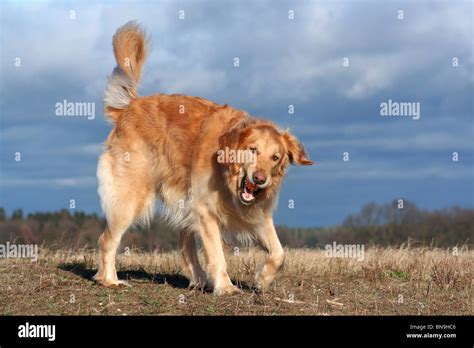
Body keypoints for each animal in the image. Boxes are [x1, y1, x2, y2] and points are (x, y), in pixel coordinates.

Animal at [94, 21, 312, 294]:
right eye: (252, 150)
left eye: (276, 157)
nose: (260, 179)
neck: (227, 174)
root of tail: (129, 106)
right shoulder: (206, 211)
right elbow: (217, 254)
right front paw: (226, 287)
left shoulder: (257, 214)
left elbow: (279, 253)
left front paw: (262, 279)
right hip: (132, 195)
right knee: (107, 239)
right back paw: (109, 279)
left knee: (185, 246)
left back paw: (198, 279)